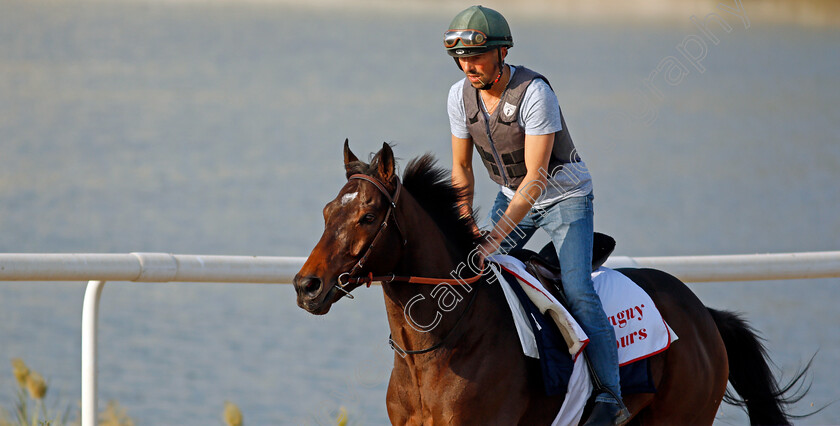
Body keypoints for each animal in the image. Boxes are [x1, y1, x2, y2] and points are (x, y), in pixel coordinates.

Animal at [294, 141, 808, 424]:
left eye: (366, 216)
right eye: (326, 211)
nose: (307, 286)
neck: (436, 349)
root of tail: (705, 316)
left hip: (683, 417)